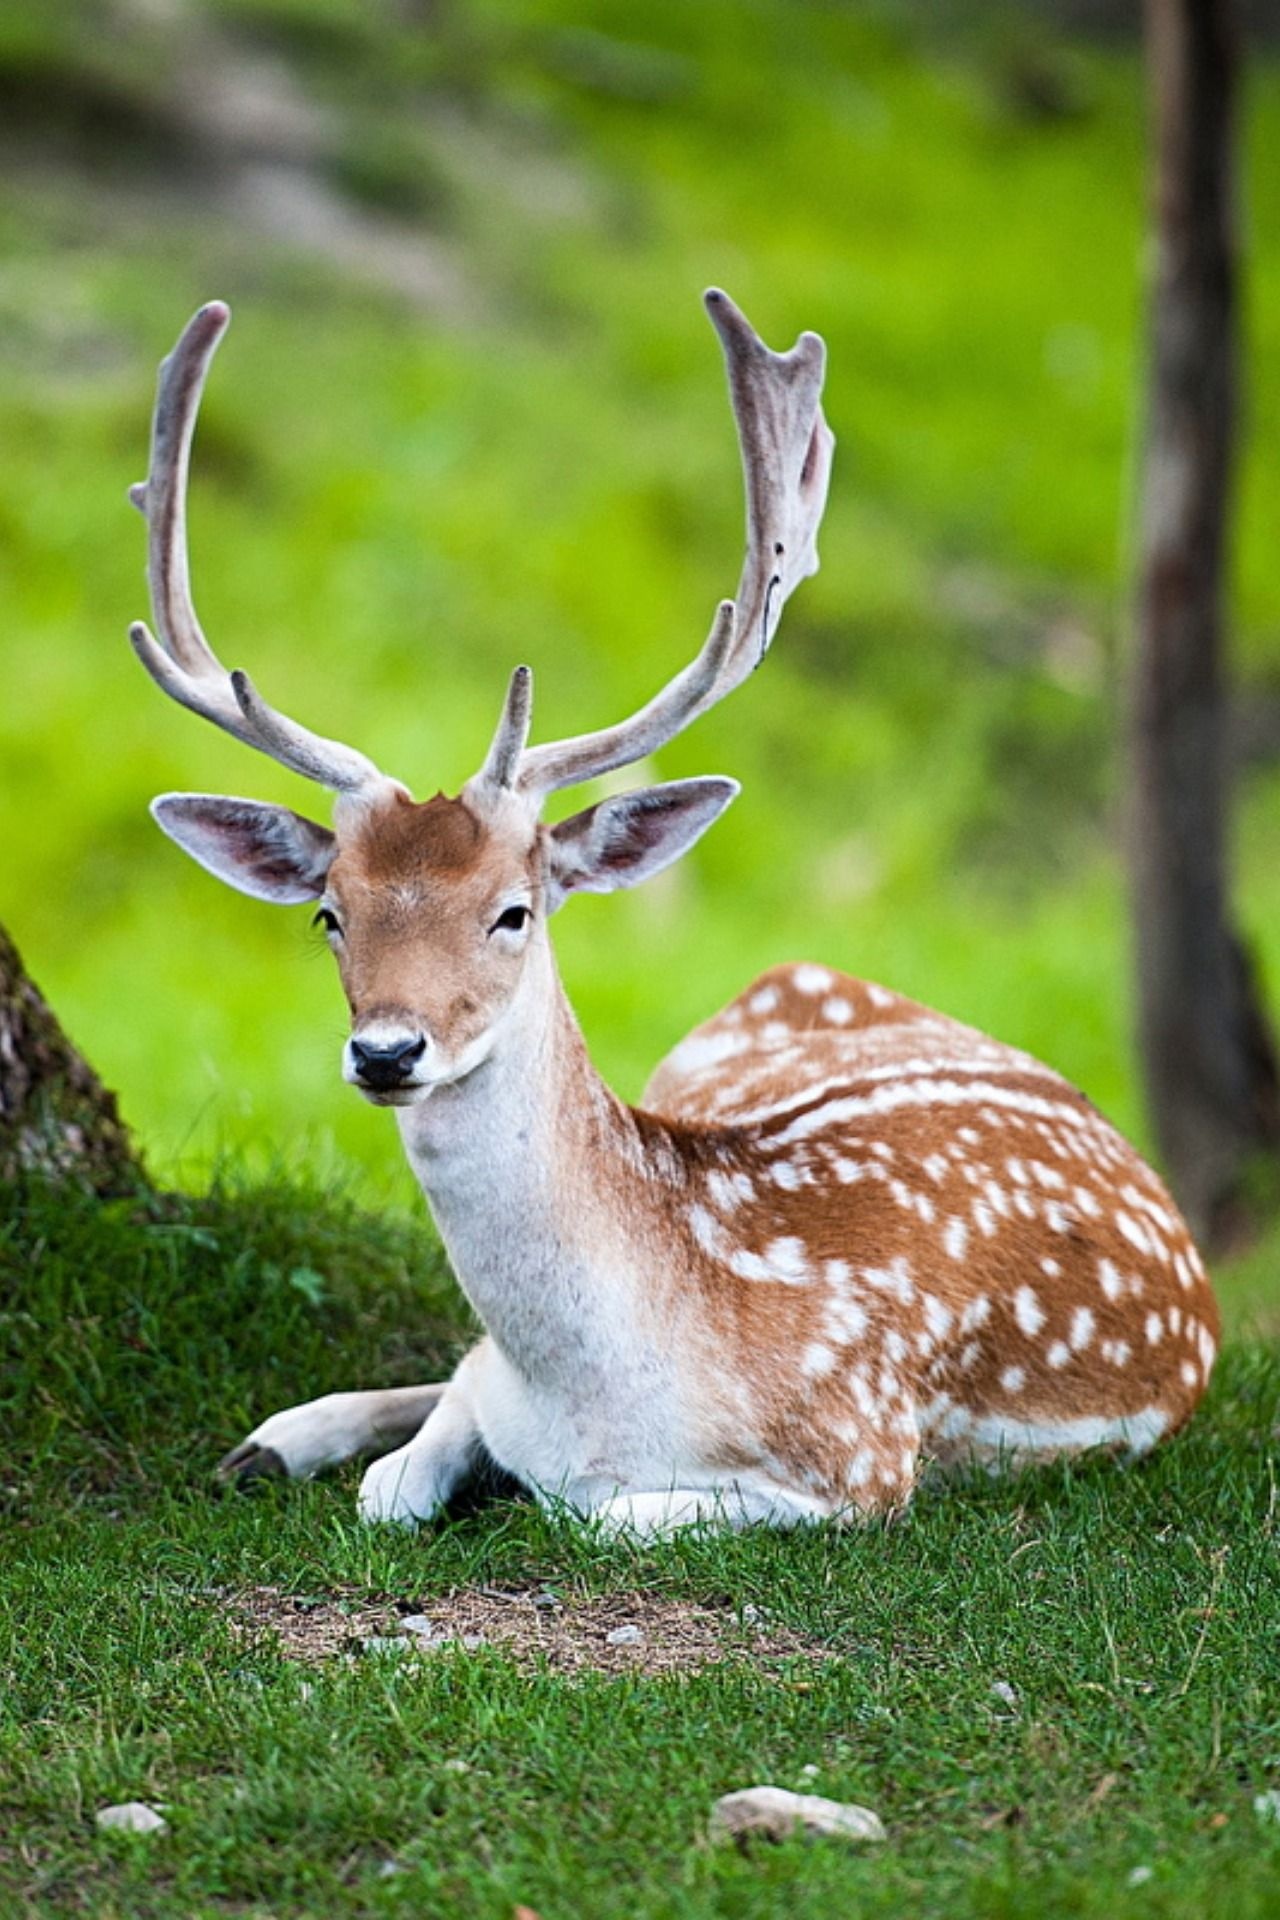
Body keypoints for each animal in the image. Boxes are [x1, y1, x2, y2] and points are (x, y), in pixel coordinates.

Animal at [127, 292, 1219, 1539]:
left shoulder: (861, 1462)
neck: (598, 1390)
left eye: (514, 912)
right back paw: (273, 1438)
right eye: (330, 914)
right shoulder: (495, 1387)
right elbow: (400, 1476)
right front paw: (321, 1446)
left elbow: (588, 1512)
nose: (388, 1051)